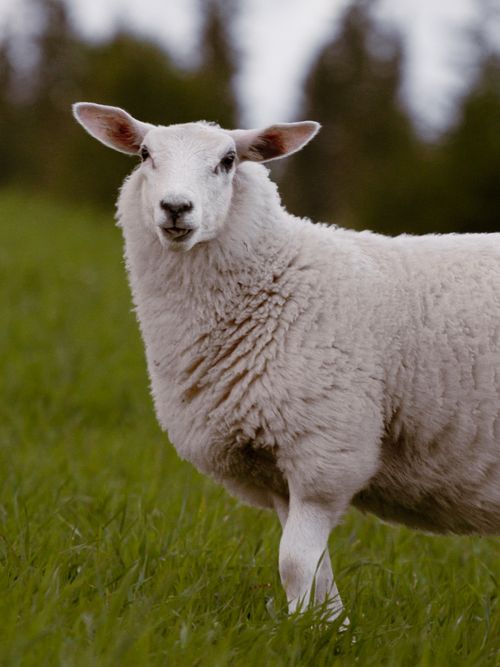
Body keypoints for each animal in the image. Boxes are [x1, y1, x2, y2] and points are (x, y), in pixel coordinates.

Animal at [73, 102, 500, 623]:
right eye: (145, 154)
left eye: (228, 161)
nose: (175, 208)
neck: (278, 275)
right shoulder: (273, 465)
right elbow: (313, 570)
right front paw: (322, 626)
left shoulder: (326, 449)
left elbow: (294, 562)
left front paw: (325, 632)